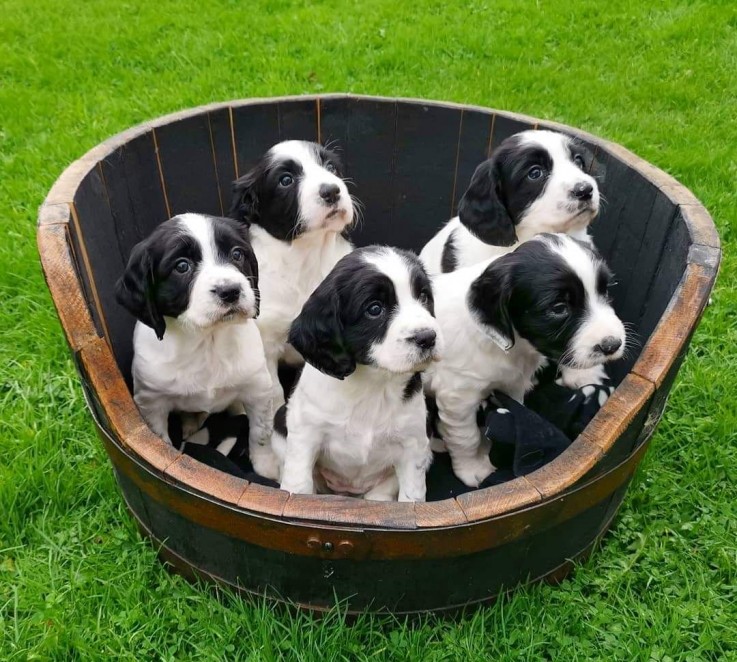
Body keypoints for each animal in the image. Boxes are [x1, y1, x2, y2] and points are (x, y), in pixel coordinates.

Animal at [115, 215, 278, 480]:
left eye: (237, 254)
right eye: (182, 266)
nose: (230, 291)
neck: (207, 341)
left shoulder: (258, 388)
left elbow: (260, 433)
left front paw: (267, 468)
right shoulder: (151, 402)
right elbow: (162, 442)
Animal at [230, 141, 356, 410]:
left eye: (330, 167)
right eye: (286, 180)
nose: (332, 191)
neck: (306, 257)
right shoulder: (266, 344)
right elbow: (274, 391)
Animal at [272, 245, 440, 504]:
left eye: (423, 296)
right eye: (375, 309)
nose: (428, 338)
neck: (373, 384)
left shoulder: (413, 444)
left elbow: (411, 496)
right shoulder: (305, 434)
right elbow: (298, 485)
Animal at [422, 233, 624, 488]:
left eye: (604, 292)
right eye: (559, 308)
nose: (613, 345)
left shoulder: (511, 384)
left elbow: (513, 410)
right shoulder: (458, 397)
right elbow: (466, 437)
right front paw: (473, 468)